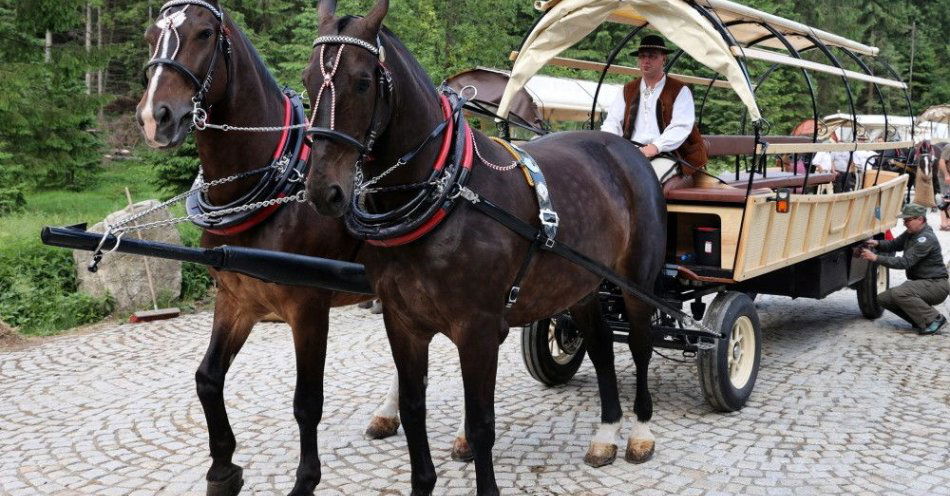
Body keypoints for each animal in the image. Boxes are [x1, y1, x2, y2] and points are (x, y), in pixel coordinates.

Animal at [133, 1, 405, 494]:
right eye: (150, 36)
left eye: (204, 33)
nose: (154, 117)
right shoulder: (236, 297)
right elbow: (207, 378)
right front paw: (223, 469)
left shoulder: (308, 307)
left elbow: (307, 402)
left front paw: (306, 479)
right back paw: (387, 416)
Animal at [303, 1, 667, 494]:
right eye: (306, 79)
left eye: (362, 80)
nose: (324, 190)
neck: (449, 192)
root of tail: (627, 148)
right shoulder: (402, 322)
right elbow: (413, 411)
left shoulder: (477, 328)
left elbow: (480, 424)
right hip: (582, 282)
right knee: (601, 344)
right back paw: (606, 433)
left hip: (635, 284)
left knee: (642, 345)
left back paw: (640, 433)